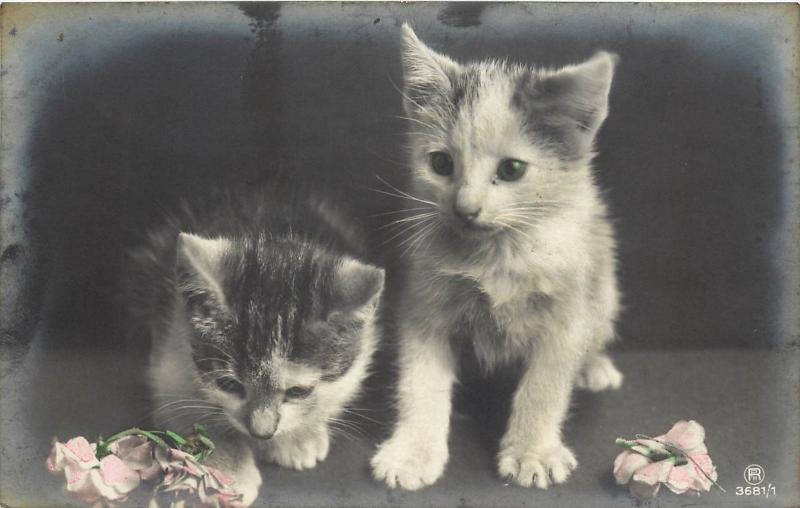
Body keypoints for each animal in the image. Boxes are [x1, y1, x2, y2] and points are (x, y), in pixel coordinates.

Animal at [128, 190, 384, 504]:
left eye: (298, 391)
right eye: (229, 385)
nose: (261, 433)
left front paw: (300, 436)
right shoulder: (168, 361)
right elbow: (193, 414)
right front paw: (229, 473)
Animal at [372, 24, 620, 492]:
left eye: (511, 170)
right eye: (441, 163)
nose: (465, 209)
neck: (495, 256)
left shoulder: (566, 314)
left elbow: (544, 386)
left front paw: (532, 451)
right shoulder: (423, 305)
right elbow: (420, 381)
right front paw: (413, 451)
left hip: (603, 287)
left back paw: (594, 367)